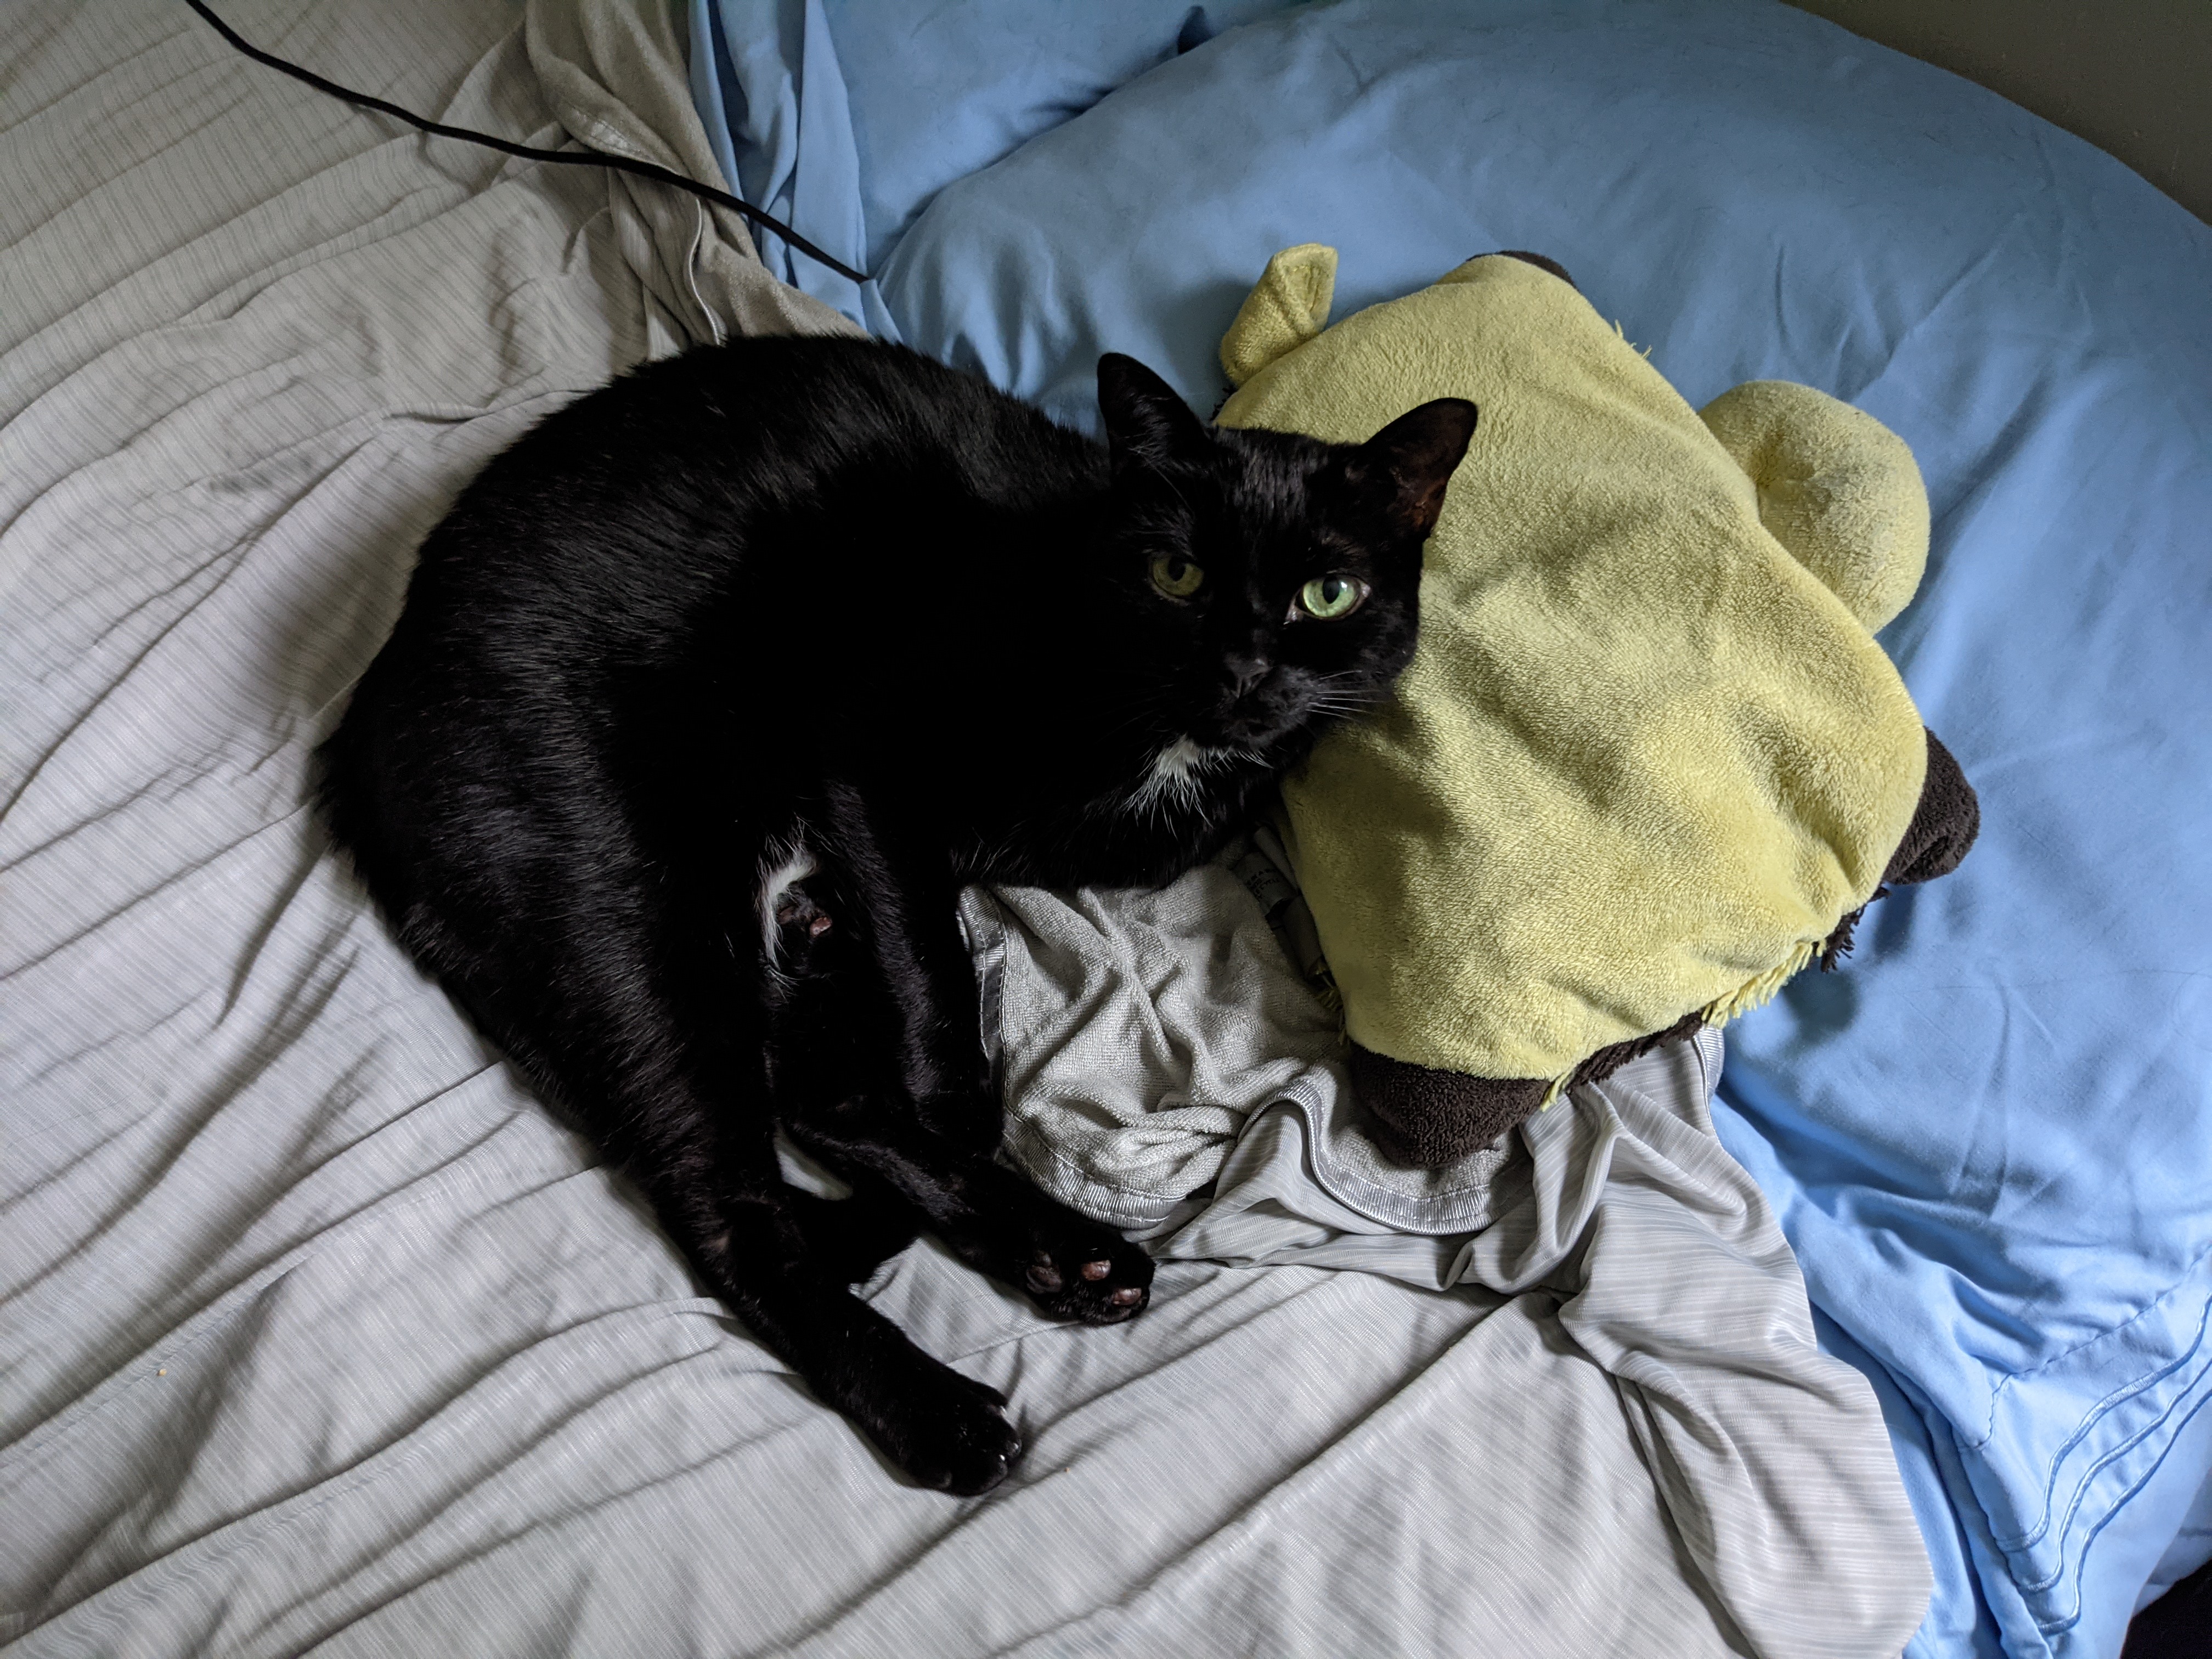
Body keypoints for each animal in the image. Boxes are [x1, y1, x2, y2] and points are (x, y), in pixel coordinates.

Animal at [319, 335, 1474, 1494]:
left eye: (1326, 593)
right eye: (1177, 573)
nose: (1241, 673)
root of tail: (363, 720)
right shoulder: (869, 770)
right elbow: (940, 977)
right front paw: (957, 1113)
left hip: (769, 937)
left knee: (812, 1102)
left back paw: (1060, 1251)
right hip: (635, 909)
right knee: (730, 1211)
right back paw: (941, 1411)